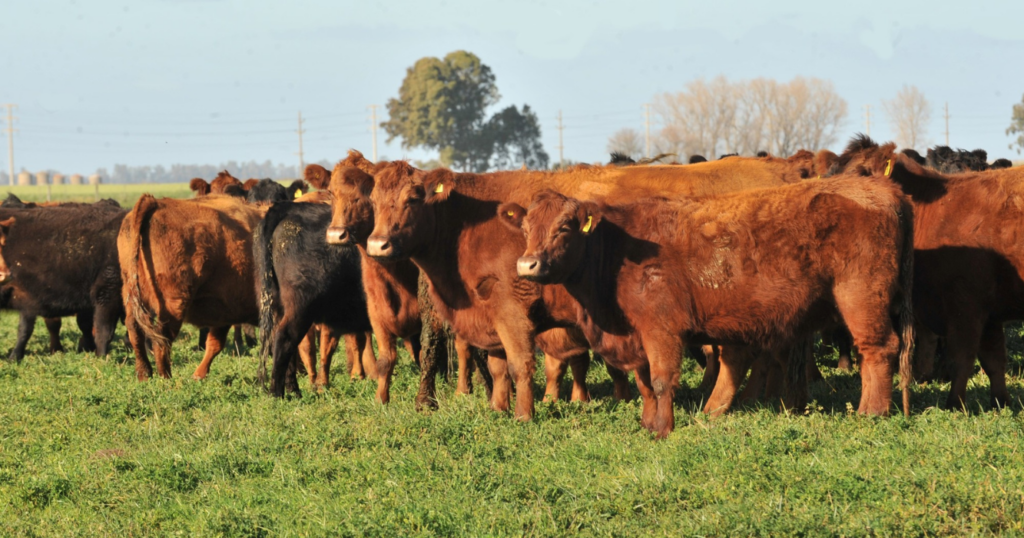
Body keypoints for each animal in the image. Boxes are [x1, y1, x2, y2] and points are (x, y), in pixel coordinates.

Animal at [501, 180, 913, 436]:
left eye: (565, 228)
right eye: (526, 228)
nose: (527, 265)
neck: (616, 252)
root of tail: (885, 189)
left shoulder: (661, 329)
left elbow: (661, 380)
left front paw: (662, 429)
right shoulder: (637, 335)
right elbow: (643, 382)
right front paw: (648, 423)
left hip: (861, 297)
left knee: (878, 350)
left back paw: (871, 412)